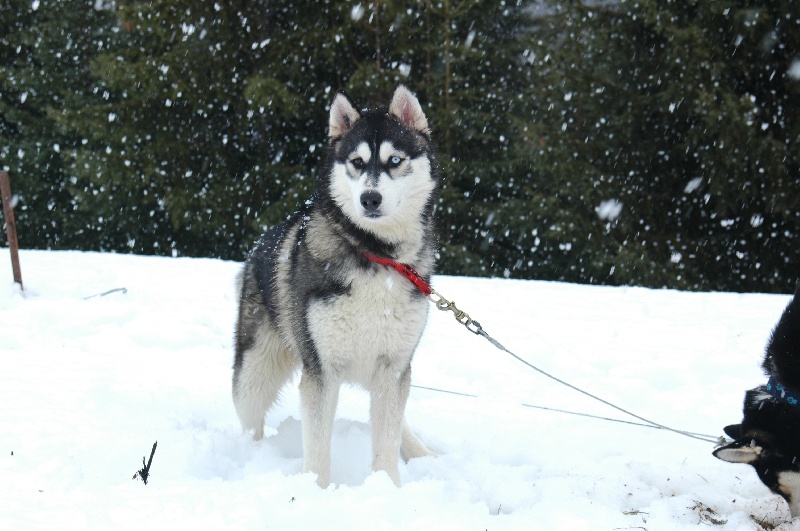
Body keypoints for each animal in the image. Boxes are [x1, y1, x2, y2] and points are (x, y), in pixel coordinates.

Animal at [234, 85, 438, 488]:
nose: (370, 198)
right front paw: (315, 490)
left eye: (394, 160)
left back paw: (422, 452)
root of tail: (260, 242)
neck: (377, 255)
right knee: (250, 417)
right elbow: (316, 448)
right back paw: (252, 458)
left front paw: (387, 488)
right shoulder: (322, 369)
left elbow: (387, 438)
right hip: (255, 372)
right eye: (357, 162)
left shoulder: (393, 366)